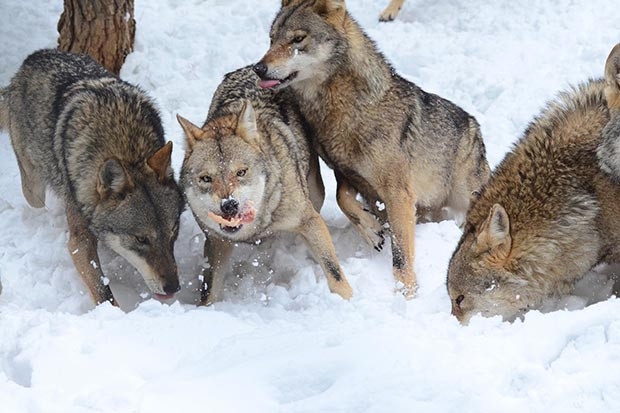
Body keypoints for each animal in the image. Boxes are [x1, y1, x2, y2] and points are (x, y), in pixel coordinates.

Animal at [0, 49, 184, 306]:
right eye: (141, 240)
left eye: (173, 232)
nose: (174, 287)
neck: (125, 147)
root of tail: (31, 59)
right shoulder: (80, 242)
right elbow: (103, 292)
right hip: (33, 187)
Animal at [179, 67, 354, 304]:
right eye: (206, 179)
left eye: (241, 172)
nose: (229, 205)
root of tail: (249, 67)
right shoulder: (216, 241)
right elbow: (209, 292)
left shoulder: (309, 220)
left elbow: (334, 273)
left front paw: (348, 301)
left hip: (314, 193)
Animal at [252, 0, 490, 296]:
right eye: (271, 39)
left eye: (297, 39)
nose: (258, 68)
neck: (342, 108)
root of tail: (475, 127)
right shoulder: (345, 173)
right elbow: (343, 199)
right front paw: (371, 229)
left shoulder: (398, 193)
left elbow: (401, 254)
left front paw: (406, 293)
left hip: (465, 194)